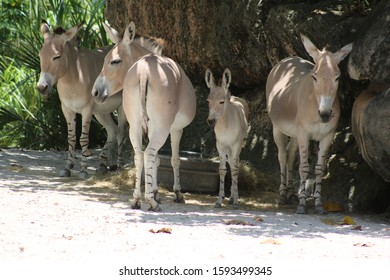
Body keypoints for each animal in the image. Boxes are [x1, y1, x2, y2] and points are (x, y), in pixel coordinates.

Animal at [37, 23, 126, 178]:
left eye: (57, 56)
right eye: (40, 55)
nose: (42, 88)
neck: (73, 77)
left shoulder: (86, 110)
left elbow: (83, 139)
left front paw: (83, 170)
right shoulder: (67, 110)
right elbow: (71, 139)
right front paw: (67, 168)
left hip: (121, 107)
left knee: (121, 132)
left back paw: (119, 166)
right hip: (101, 111)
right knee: (112, 131)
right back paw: (103, 165)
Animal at [92, 22, 197, 210]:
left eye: (114, 61)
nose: (95, 92)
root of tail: (144, 71)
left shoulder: (150, 126)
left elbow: (156, 160)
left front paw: (155, 192)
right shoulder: (176, 129)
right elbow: (174, 159)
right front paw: (176, 194)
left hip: (134, 125)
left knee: (139, 155)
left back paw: (136, 199)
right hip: (162, 127)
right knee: (147, 153)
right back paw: (151, 202)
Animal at [206, 68, 248, 208]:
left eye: (221, 101)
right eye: (208, 101)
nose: (211, 121)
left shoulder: (235, 145)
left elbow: (235, 170)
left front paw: (236, 202)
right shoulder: (220, 145)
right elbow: (222, 170)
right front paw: (219, 200)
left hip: (237, 147)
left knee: (236, 165)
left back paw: (234, 197)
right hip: (228, 149)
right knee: (230, 163)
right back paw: (230, 196)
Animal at [266, 35, 354, 214]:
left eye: (337, 77)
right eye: (314, 76)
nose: (325, 114)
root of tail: (288, 59)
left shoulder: (328, 136)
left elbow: (319, 170)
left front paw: (318, 204)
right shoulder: (304, 134)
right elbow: (304, 168)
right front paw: (301, 205)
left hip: (294, 134)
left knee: (290, 155)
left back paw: (291, 194)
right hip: (278, 129)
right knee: (282, 156)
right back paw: (282, 196)